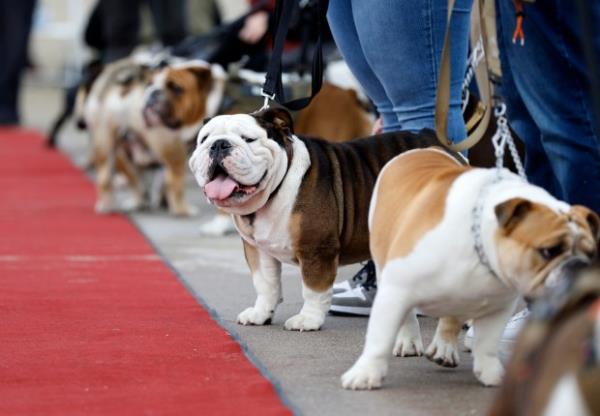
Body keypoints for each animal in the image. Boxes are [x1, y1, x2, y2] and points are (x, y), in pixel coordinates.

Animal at [190, 107, 462, 332]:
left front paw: (307, 320)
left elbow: (313, 290)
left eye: (248, 139)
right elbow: (265, 284)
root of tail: (438, 143)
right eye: (204, 140)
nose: (219, 145)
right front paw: (260, 313)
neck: (276, 187)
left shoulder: (316, 250)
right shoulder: (257, 250)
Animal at [342, 147, 600, 390]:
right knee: (408, 315)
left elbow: (488, 343)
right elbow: (380, 339)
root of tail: (422, 150)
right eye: (548, 251)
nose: (578, 266)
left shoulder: (499, 307)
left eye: (591, 254)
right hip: (385, 266)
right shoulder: (396, 289)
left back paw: (444, 347)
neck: (480, 242)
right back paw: (409, 340)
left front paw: (491, 373)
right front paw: (365, 374)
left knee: (451, 315)